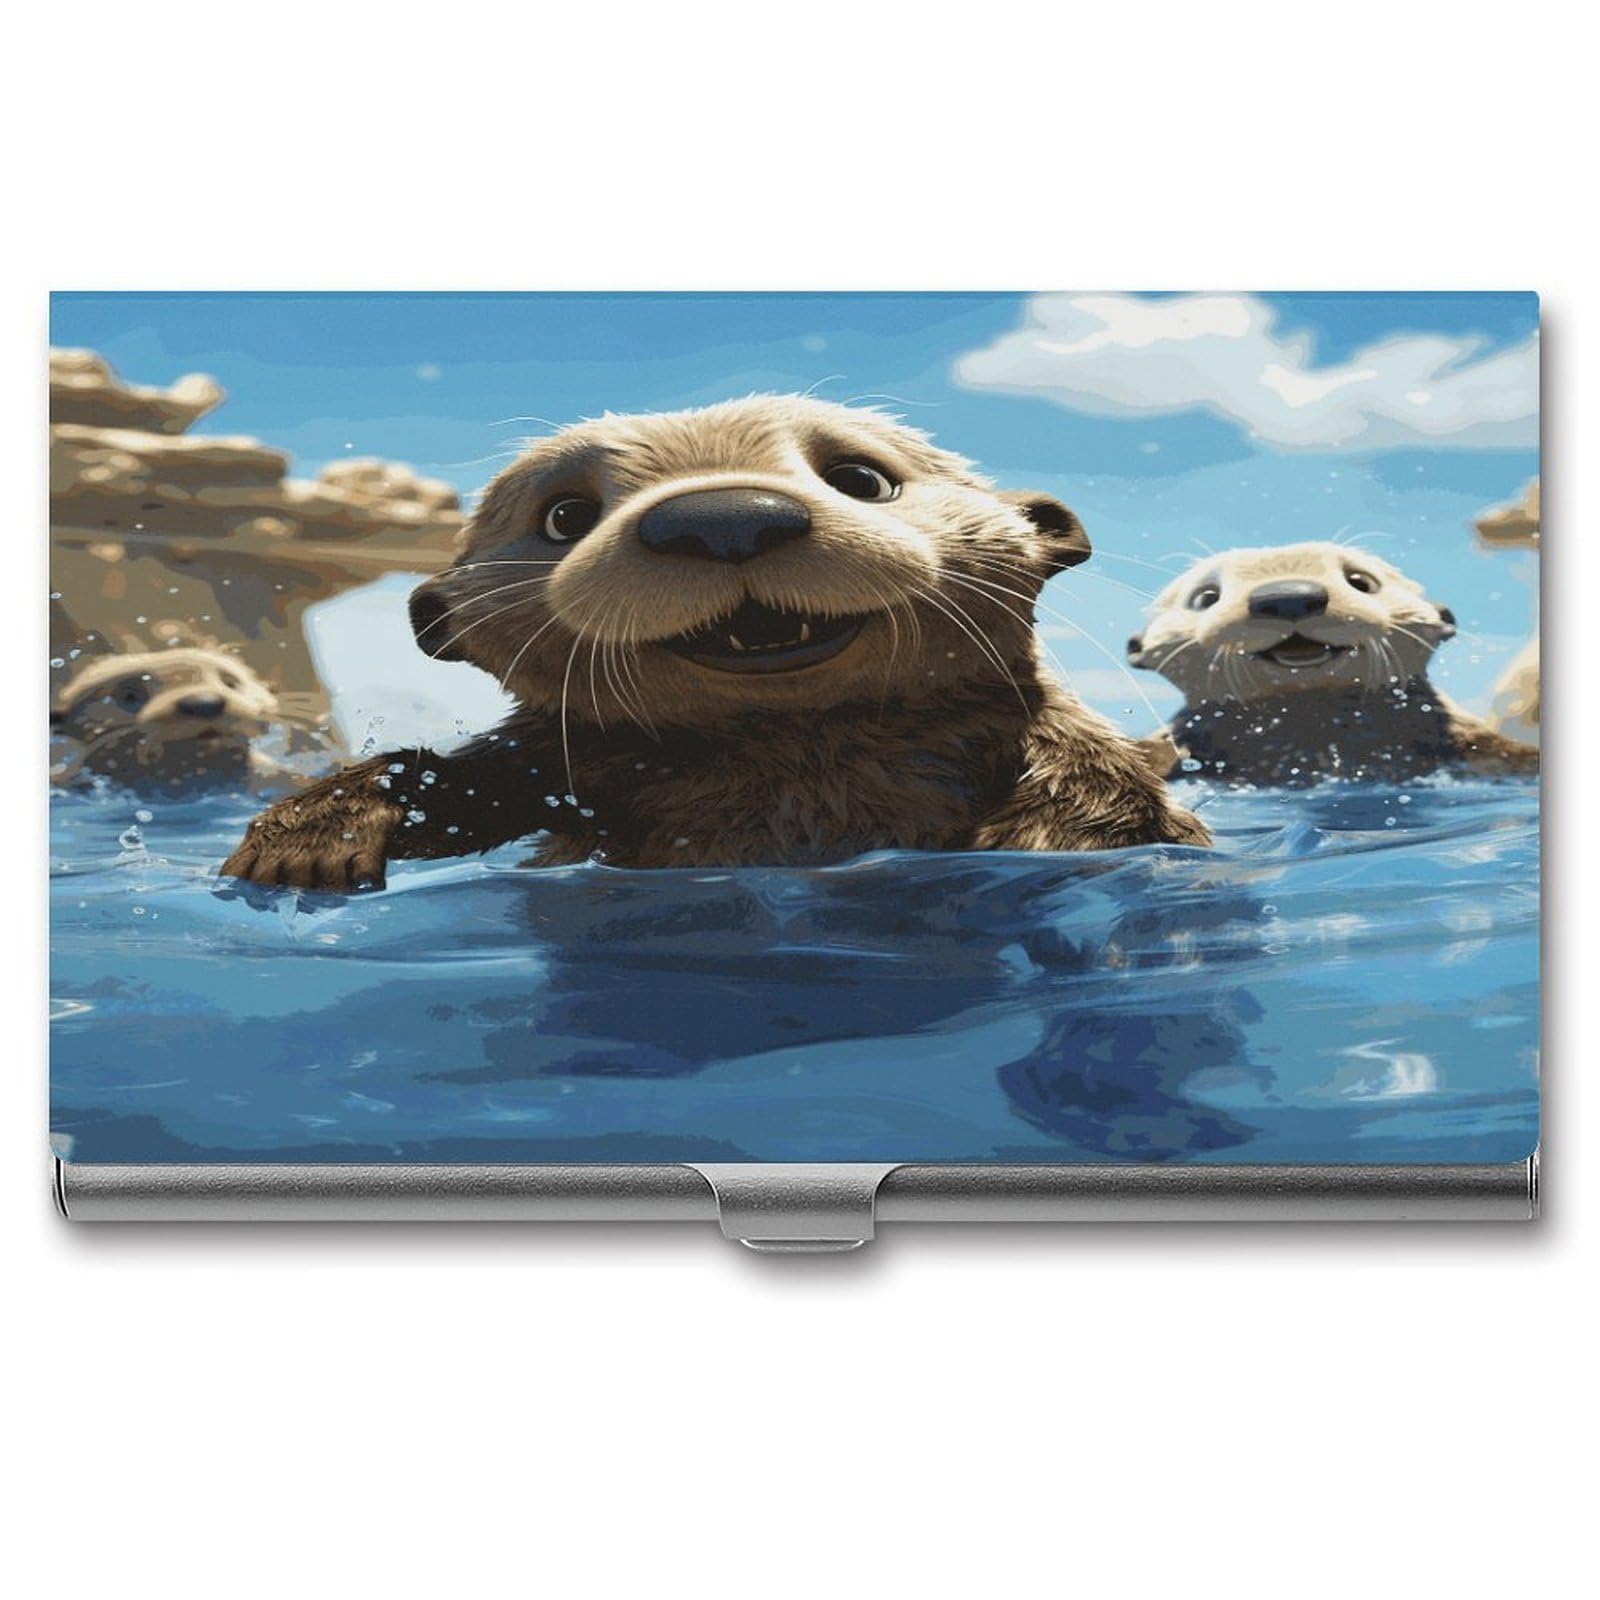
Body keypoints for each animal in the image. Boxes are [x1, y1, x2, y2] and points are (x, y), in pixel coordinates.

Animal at [221, 396, 1208, 889]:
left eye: (862, 479)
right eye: (564, 515)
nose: (725, 517)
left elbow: (1110, 802)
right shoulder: (554, 764)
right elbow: (449, 785)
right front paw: (309, 837)